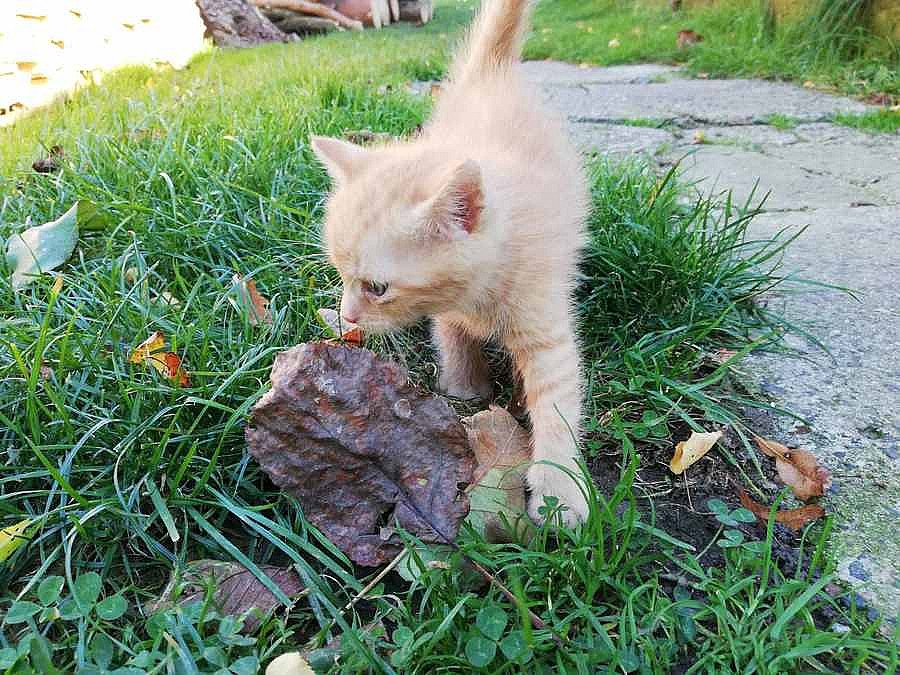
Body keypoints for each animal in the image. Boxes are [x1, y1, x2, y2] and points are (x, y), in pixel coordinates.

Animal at [310, 0, 591, 525]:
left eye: (377, 288)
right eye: (341, 276)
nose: (349, 316)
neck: (479, 292)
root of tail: (490, 73)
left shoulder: (546, 329)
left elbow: (557, 404)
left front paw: (559, 492)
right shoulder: (447, 309)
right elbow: (450, 334)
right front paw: (464, 386)